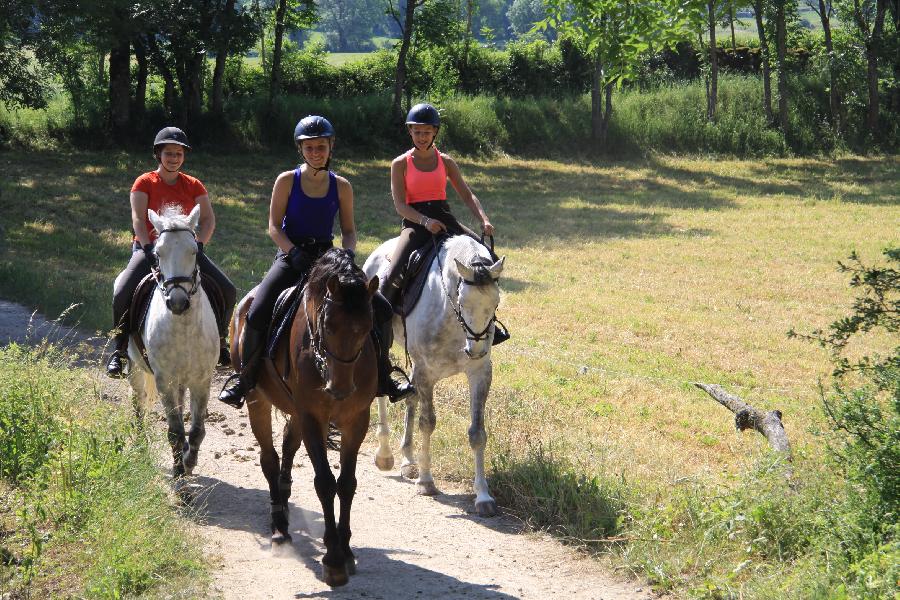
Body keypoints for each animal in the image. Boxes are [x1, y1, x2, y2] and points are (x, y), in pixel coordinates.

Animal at [119, 206, 220, 482]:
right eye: (157, 253)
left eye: (194, 251)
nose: (177, 302)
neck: (183, 328)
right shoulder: (164, 380)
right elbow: (174, 428)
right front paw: (178, 470)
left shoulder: (202, 380)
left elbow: (196, 429)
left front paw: (189, 461)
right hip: (136, 368)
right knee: (139, 403)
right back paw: (140, 445)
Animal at [230, 247, 378, 584]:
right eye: (328, 326)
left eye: (367, 327)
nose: (340, 389)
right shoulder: (312, 417)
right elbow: (324, 482)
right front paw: (333, 560)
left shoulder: (356, 420)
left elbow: (347, 483)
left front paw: (346, 551)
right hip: (258, 400)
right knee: (270, 460)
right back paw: (279, 530)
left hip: (296, 414)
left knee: (287, 448)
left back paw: (284, 507)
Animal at [366, 234, 506, 516]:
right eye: (462, 301)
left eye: (495, 303)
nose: (475, 349)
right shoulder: (426, 372)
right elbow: (427, 423)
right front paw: (426, 482)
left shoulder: (479, 373)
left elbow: (477, 433)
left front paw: (483, 496)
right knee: (383, 392)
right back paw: (385, 455)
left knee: (410, 398)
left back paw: (408, 460)